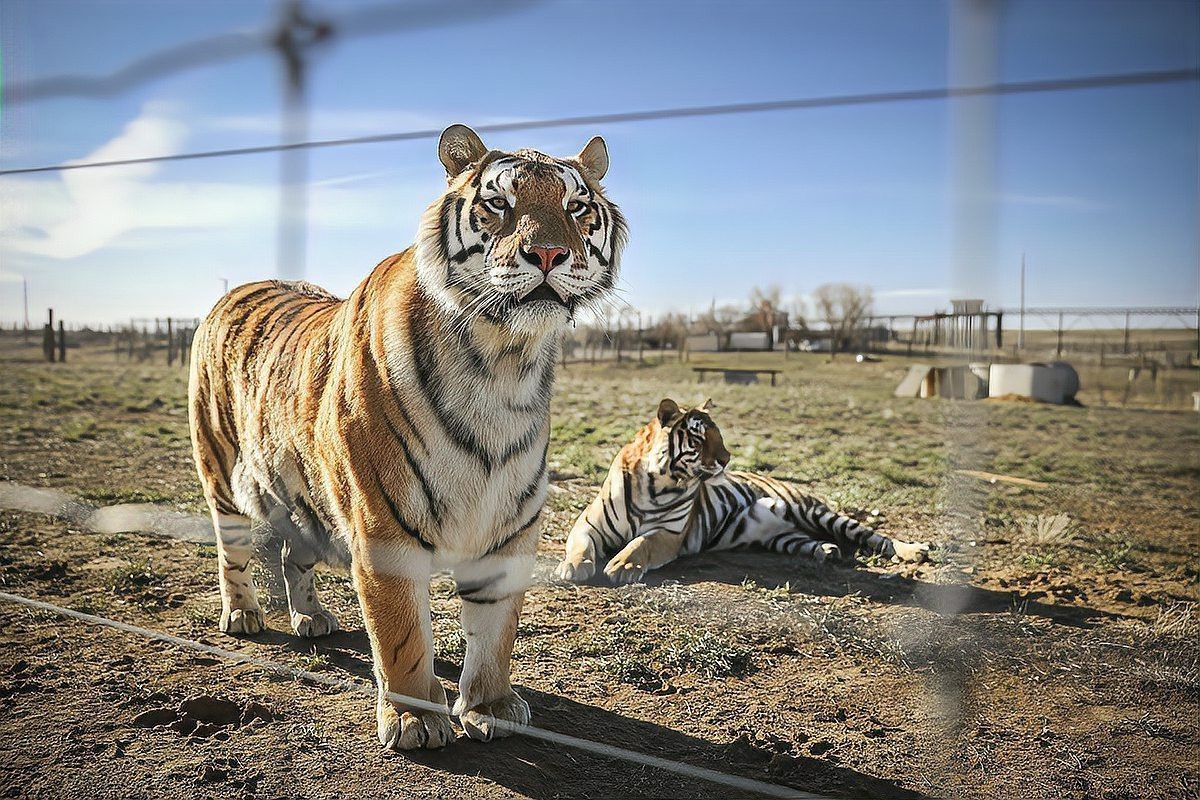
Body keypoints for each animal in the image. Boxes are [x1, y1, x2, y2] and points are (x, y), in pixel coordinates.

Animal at [188, 124, 626, 751]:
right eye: (500, 203)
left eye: (577, 207)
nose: (547, 254)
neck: (503, 362)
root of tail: (237, 288)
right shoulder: (383, 524)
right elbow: (400, 632)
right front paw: (415, 718)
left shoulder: (511, 526)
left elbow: (496, 630)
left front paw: (491, 706)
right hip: (220, 468)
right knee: (233, 548)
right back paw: (243, 615)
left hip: (302, 494)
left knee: (295, 554)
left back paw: (311, 618)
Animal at [554, 398, 930, 584]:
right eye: (700, 438)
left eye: (719, 436)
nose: (726, 459)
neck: (656, 482)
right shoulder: (588, 525)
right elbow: (579, 545)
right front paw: (571, 567)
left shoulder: (670, 534)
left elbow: (640, 543)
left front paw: (623, 566)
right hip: (782, 536)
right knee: (807, 540)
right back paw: (827, 551)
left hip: (814, 510)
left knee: (874, 535)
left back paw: (913, 551)